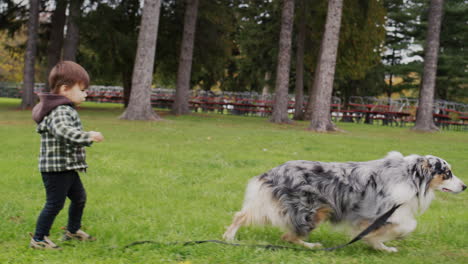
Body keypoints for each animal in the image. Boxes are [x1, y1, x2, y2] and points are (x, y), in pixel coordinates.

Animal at [223, 152, 464, 253]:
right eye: (447, 174)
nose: (464, 187)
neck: (411, 175)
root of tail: (273, 172)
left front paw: (381, 247)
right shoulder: (380, 212)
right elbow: (406, 226)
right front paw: (380, 241)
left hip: (274, 206)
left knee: (242, 215)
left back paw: (228, 237)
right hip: (313, 210)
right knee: (288, 236)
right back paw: (311, 246)